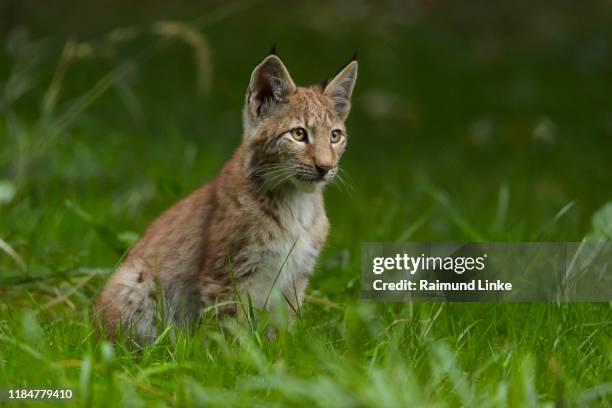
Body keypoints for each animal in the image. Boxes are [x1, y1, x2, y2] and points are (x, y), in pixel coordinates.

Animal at [95, 49, 358, 342]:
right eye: (299, 134)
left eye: (335, 136)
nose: (325, 167)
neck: (297, 201)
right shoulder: (227, 275)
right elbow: (229, 330)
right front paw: (236, 353)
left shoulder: (296, 277)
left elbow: (282, 329)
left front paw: (282, 350)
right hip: (134, 279)